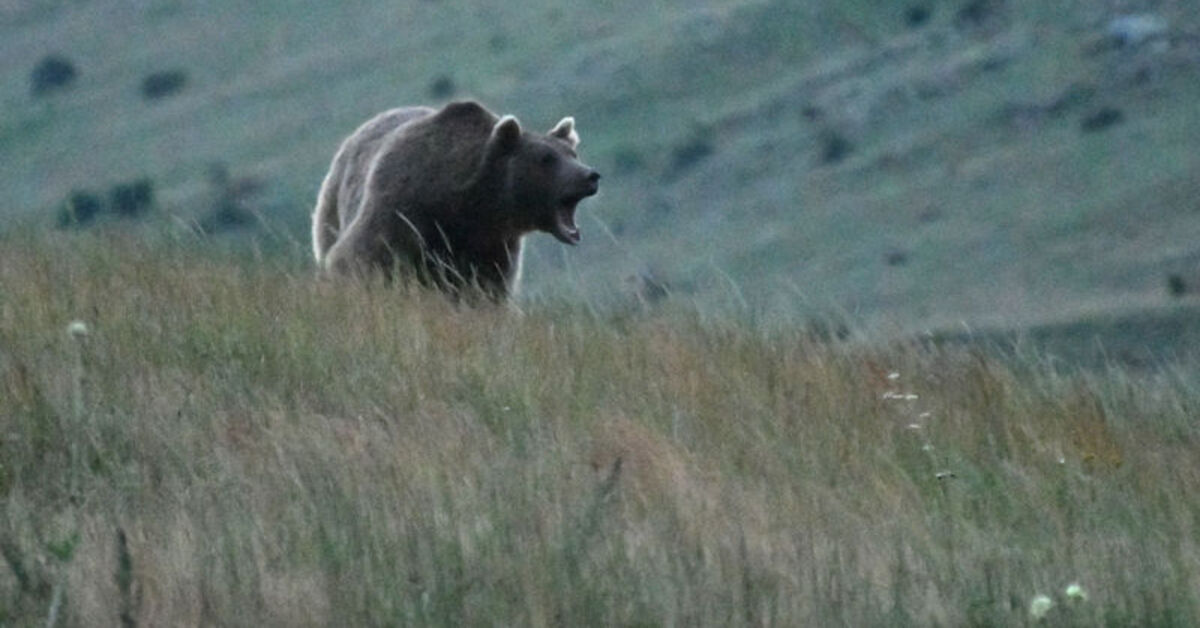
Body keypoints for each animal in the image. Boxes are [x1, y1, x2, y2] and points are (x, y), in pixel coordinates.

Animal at [312, 100, 600, 300]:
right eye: (546, 158)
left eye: (572, 153)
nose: (590, 175)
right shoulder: (401, 210)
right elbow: (359, 257)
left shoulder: (491, 245)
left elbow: (488, 290)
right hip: (332, 207)